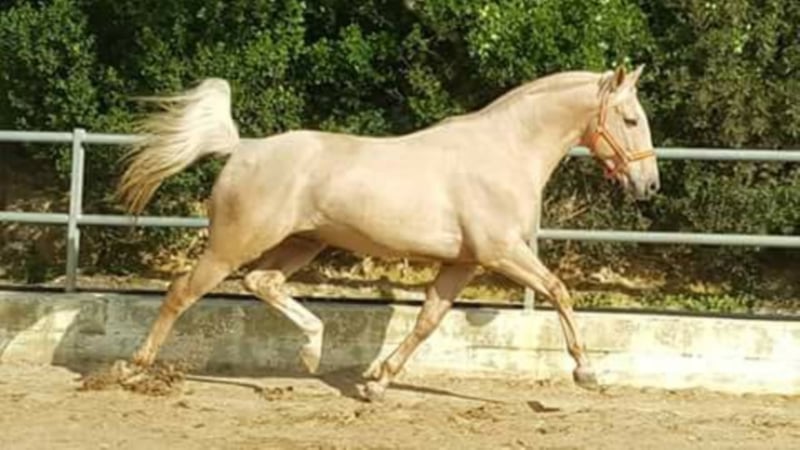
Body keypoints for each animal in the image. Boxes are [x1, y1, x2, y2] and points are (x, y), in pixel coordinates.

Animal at [117, 65, 660, 401]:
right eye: (631, 119)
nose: (648, 185)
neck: (505, 151)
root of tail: (242, 148)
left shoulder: (463, 263)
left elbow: (427, 322)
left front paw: (376, 383)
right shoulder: (502, 252)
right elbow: (559, 291)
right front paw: (587, 373)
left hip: (302, 241)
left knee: (262, 282)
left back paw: (312, 350)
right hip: (234, 244)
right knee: (182, 291)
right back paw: (132, 367)